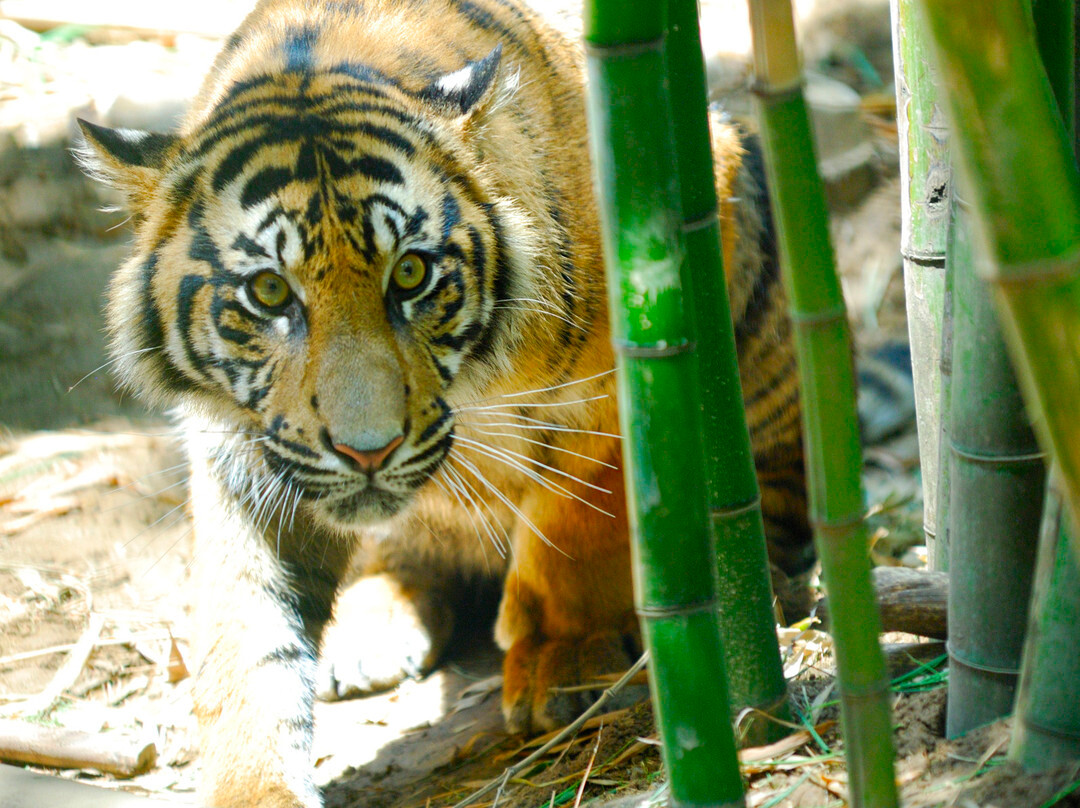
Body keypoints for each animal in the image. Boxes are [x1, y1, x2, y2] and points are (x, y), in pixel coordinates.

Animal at [78, 1, 812, 808]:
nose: (366, 451)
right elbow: (247, 639)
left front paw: (569, 656)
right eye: (269, 291)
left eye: (411, 274)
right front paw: (256, 786)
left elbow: (584, 509)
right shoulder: (249, 458)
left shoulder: (640, 338)